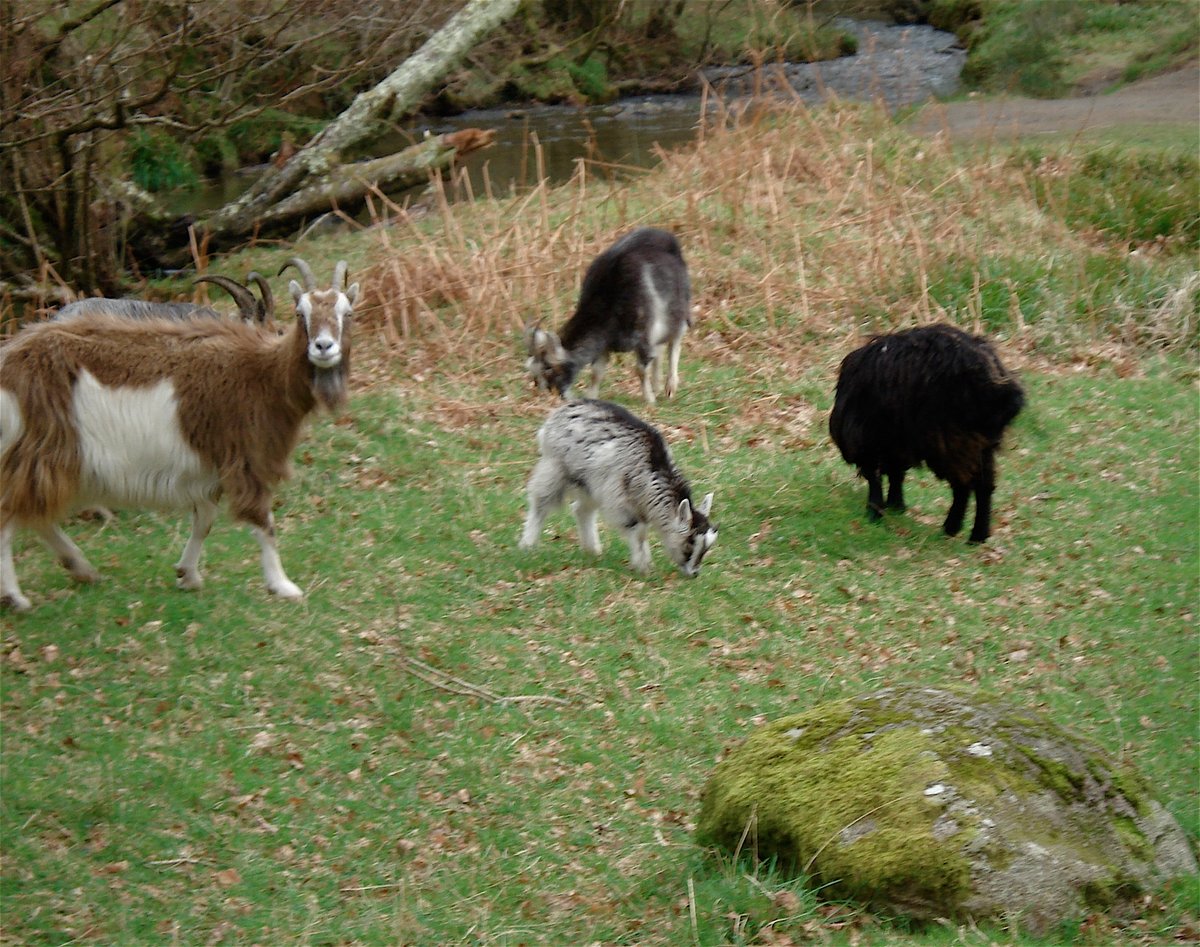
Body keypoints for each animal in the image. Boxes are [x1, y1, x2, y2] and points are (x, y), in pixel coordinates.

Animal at [0, 258, 356, 611]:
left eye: (347, 313)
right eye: (300, 313)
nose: (323, 347)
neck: (259, 370)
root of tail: (11, 361)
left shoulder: (209, 465)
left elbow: (205, 519)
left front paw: (188, 575)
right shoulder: (242, 457)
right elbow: (262, 522)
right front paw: (283, 586)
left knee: (37, 513)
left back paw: (81, 569)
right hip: (39, 448)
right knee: (10, 514)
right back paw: (16, 596)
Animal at [519, 399, 717, 576]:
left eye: (706, 548)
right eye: (689, 544)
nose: (694, 573)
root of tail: (561, 410)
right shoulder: (621, 501)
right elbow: (639, 532)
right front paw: (644, 566)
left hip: (592, 484)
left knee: (581, 510)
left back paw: (592, 550)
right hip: (555, 466)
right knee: (541, 503)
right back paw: (528, 544)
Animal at [525, 227, 691, 404]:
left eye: (548, 368)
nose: (550, 398)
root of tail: (666, 235)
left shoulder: (644, 334)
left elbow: (640, 369)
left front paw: (650, 401)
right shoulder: (604, 344)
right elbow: (596, 373)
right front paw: (591, 398)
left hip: (679, 312)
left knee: (674, 344)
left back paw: (670, 387)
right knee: (660, 349)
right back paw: (657, 385)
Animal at [828, 323, 1025, 544]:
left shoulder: (868, 439)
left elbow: (876, 476)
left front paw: (876, 512)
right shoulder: (896, 443)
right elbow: (896, 473)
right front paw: (896, 506)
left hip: (950, 438)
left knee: (965, 484)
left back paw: (958, 529)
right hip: (976, 443)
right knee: (982, 485)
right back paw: (974, 534)